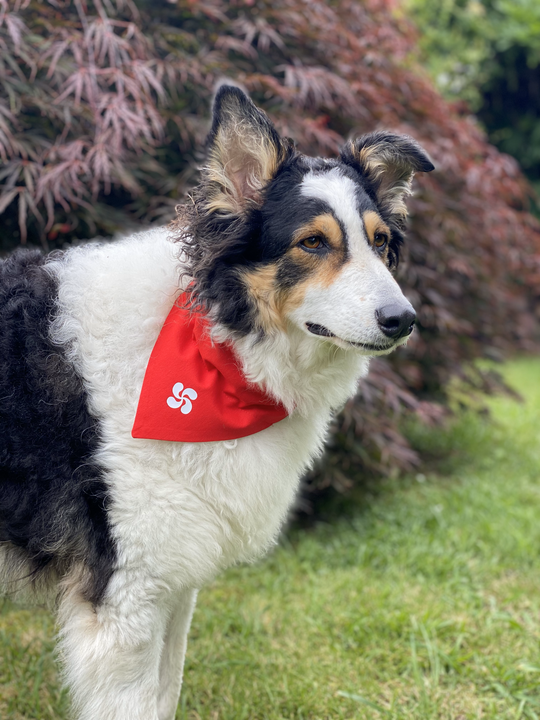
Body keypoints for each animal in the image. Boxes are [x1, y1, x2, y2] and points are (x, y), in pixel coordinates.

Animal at [0, 86, 432, 720]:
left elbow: (166, 691)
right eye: (313, 242)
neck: (215, 351)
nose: (403, 320)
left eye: (380, 243)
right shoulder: (128, 594)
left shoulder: (172, 580)